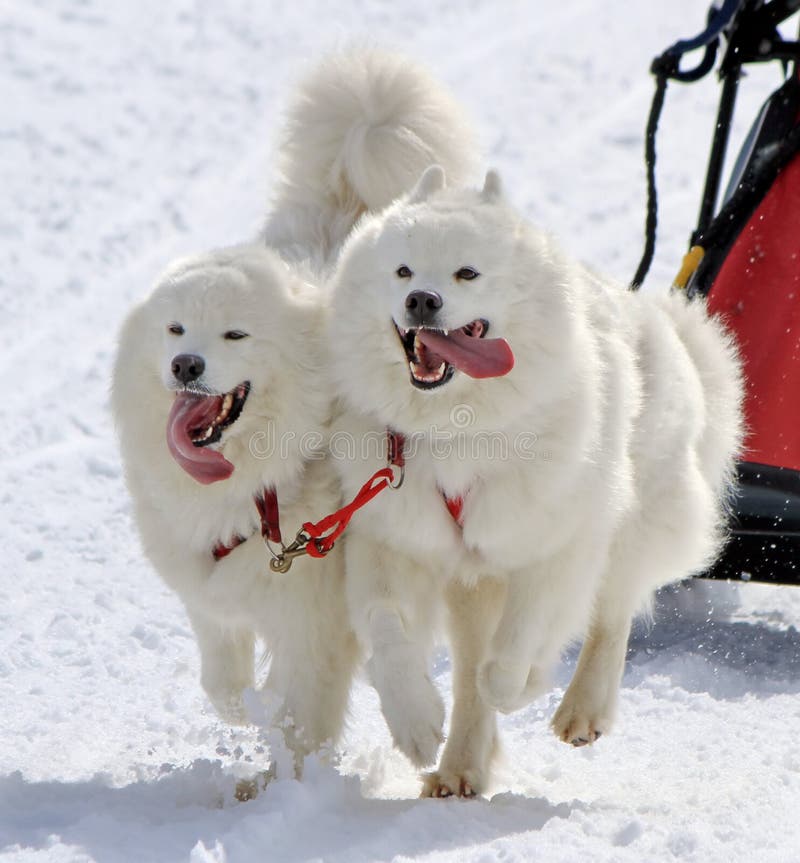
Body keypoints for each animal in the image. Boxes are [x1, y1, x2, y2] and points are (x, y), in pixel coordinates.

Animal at [111, 50, 476, 780]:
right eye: (175, 329)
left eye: (235, 335)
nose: (186, 364)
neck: (261, 486)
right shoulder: (210, 589)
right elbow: (222, 681)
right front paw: (242, 713)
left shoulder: (315, 617)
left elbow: (302, 715)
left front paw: (291, 786)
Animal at [326, 164, 744, 796]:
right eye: (402, 271)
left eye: (467, 272)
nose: (422, 299)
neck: (455, 428)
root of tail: (665, 322)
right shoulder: (395, 539)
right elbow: (388, 628)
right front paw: (416, 723)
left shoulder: (554, 544)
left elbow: (515, 649)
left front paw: (520, 685)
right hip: (473, 582)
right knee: (473, 664)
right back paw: (458, 767)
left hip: (632, 525)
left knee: (612, 615)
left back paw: (580, 710)